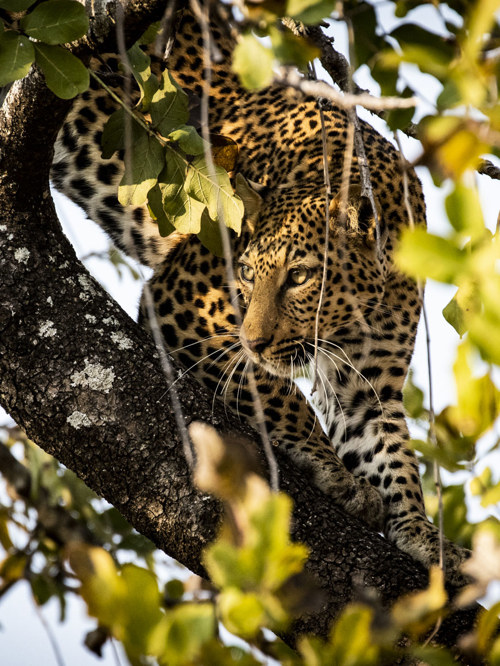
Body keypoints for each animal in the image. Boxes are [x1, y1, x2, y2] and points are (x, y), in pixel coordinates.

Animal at [51, 7, 469, 583]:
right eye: (247, 273)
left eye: (300, 276)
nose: (254, 341)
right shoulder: (184, 305)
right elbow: (279, 394)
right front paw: (334, 473)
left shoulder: (368, 386)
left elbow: (393, 455)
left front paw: (425, 537)